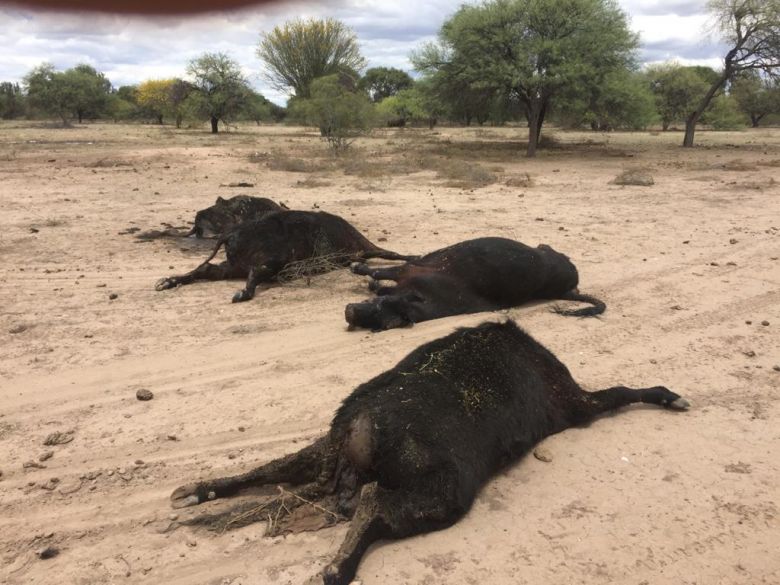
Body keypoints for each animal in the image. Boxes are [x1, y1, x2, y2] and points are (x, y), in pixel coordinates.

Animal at [157, 209, 414, 302]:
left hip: (233, 266)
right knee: (256, 272)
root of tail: (231, 235)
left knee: (208, 269)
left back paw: (168, 281)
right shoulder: (363, 247)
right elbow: (393, 253)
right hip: (272, 262)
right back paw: (242, 294)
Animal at [171, 320, 688, 584]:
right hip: (443, 491)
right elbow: (623, 390)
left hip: (322, 453)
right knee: (375, 501)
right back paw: (335, 570)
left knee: (268, 470)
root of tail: (356, 424)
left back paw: (195, 490)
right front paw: (669, 396)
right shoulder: (574, 402)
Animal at [344, 236, 608, 328]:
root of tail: (571, 286)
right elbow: (377, 281)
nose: (350, 312)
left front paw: (359, 268)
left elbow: (378, 274)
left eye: (385, 323)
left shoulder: (409, 270)